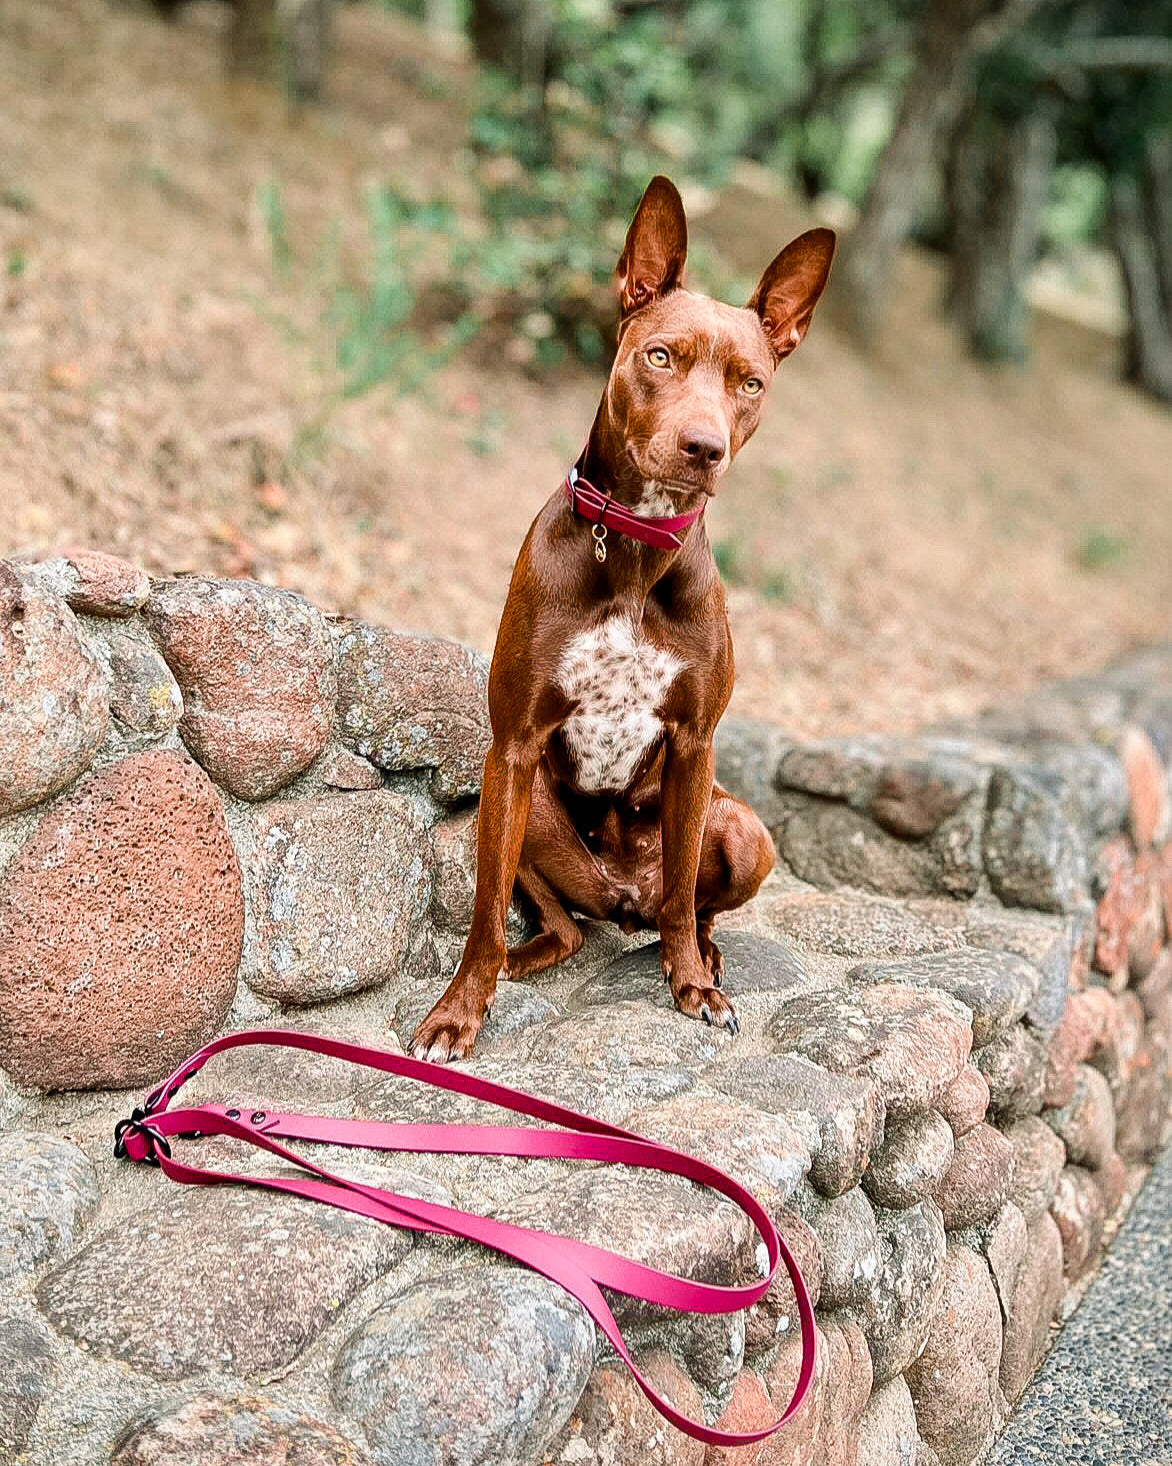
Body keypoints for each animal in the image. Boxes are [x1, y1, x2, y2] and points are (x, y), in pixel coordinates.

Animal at [413, 177, 833, 1061]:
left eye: (750, 383)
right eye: (660, 356)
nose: (704, 446)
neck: (637, 546)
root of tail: (621, 897)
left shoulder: (696, 746)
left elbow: (682, 896)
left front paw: (691, 986)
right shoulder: (513, 747)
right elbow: (481, 920)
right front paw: (459, 1013)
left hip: (743, 827)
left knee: (682, 903)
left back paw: (700, 953)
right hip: (509, 804)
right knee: (562, 928)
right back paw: (523, 962)